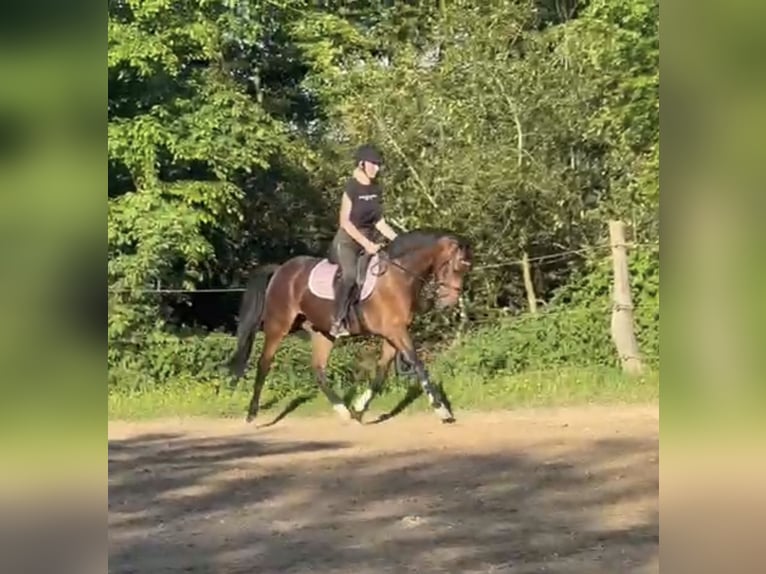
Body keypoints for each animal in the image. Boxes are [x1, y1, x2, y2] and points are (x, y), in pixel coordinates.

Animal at [226, 228, 474, 424]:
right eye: (455, 266)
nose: (449, 302)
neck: (397, 275)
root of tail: (280, 269)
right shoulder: (396, 332)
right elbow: (418, 364)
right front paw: (442, 410)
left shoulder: (393, 334)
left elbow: (380, 374)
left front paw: (359, 408)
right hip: (278, 326)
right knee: (264, 364)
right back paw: (251, 415)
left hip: (322, 332)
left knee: (318, 370)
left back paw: (343, 411)